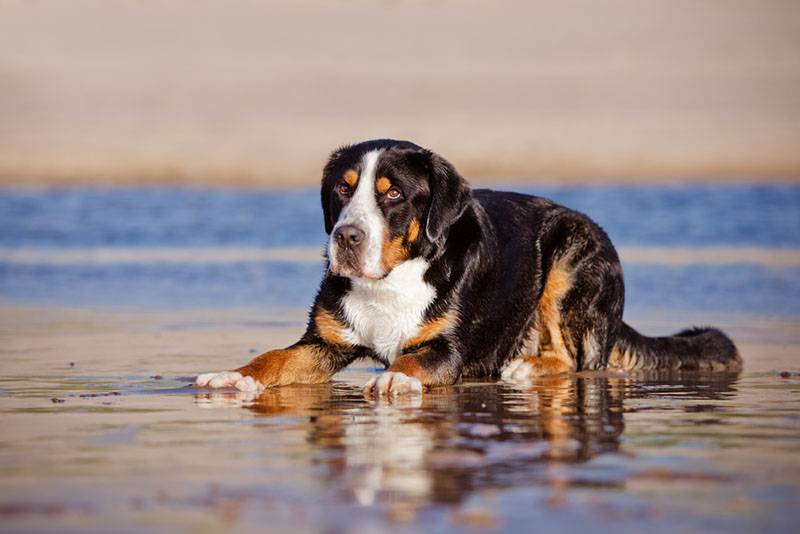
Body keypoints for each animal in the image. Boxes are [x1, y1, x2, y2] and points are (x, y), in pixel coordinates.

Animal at [195, 138, 744, 398]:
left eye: (393, 193)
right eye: (342, 189)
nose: (345, 237)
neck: (391, 283)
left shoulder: (449, 349)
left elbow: (411, 360)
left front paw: (394, 379)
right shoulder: (323, 342)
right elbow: (274, 357)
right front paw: (235, 376)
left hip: (570, 254)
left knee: (577, 360)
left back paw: (528, 366)